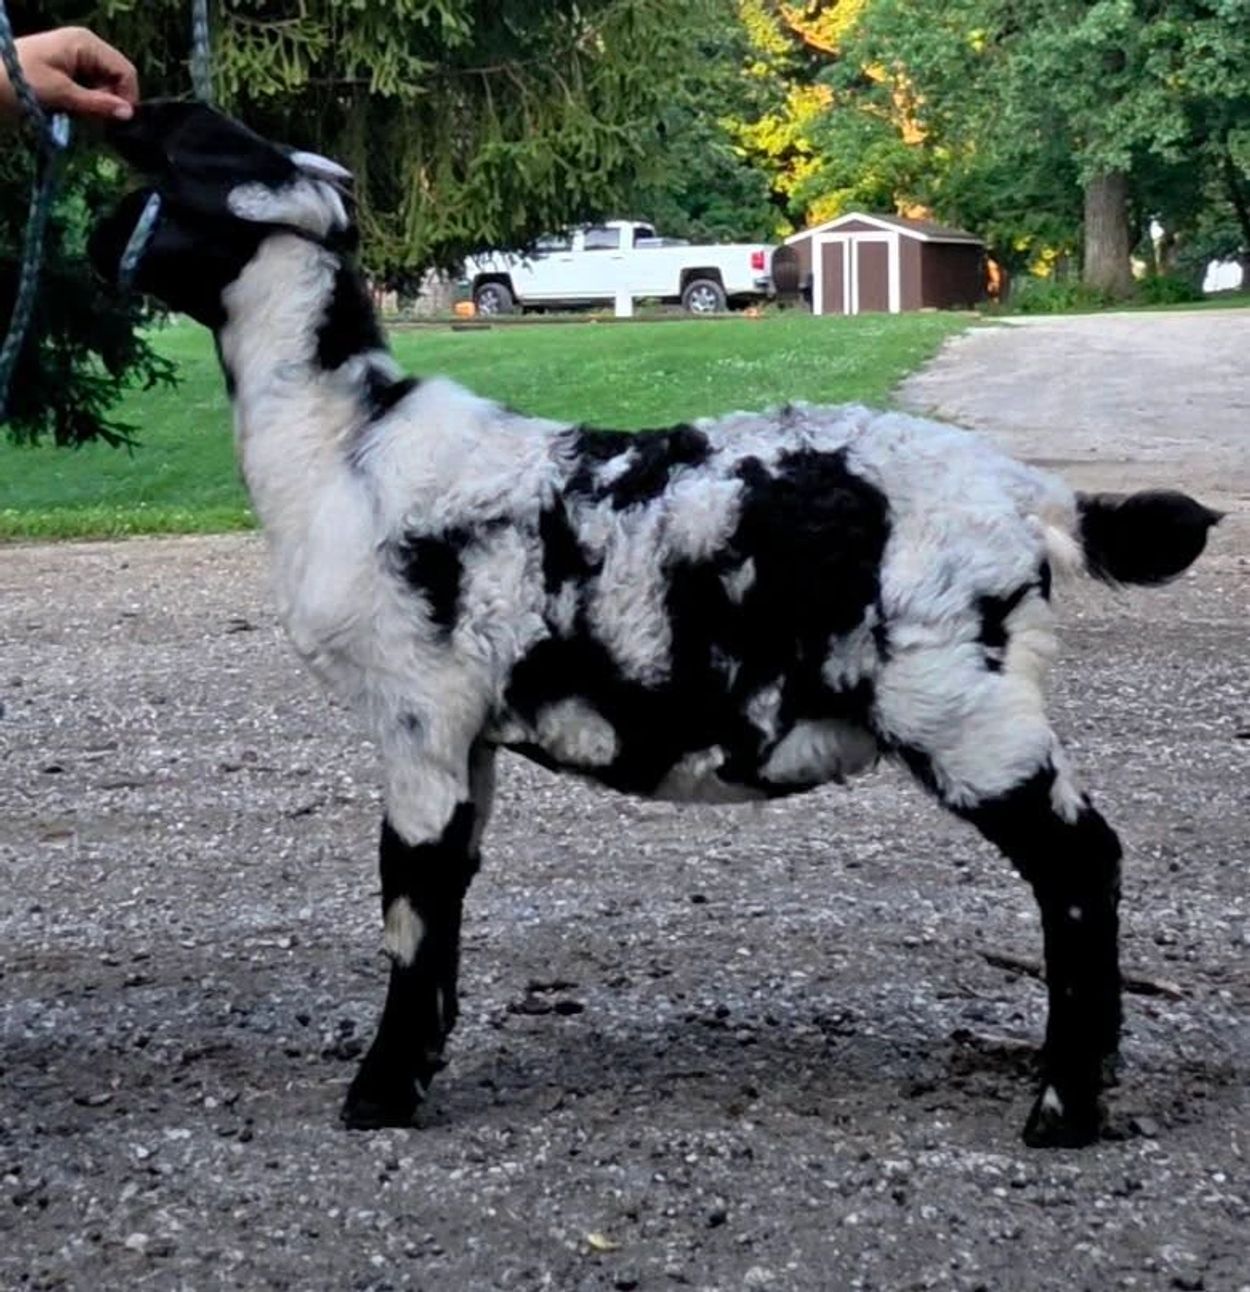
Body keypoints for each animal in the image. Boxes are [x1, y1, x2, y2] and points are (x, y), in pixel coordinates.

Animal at [90, 102, 1220, 1147]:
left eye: (179, 167)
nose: (97, 244)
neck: (346, 444)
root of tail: (1034, 495)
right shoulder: (466, 737)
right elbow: (444, 906)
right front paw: (415, 1072)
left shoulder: (417, 714)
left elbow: (410, 909)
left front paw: (378, 1095)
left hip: (959, 700)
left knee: (1081, 866)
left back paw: (1063, 1107)